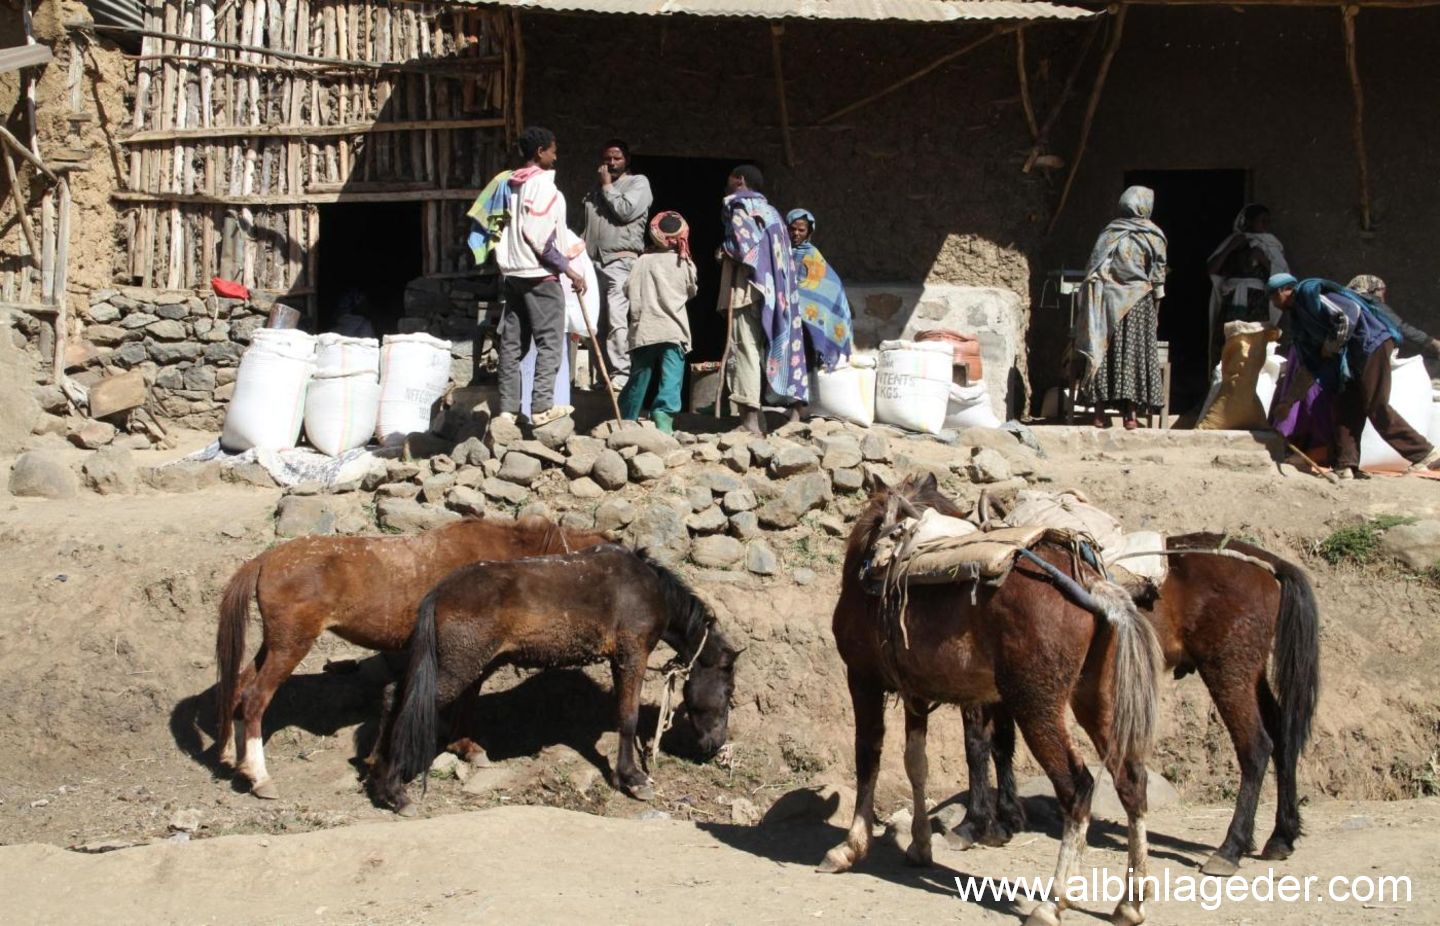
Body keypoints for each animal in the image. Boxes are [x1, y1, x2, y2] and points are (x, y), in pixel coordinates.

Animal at [215, 515, 608, 798]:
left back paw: (234, 760)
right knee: (255, 699)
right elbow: (468, 699)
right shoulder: (472, 656)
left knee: (237, 689)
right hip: (291, 646)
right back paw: (260, 777)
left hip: (274, 644)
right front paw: (466, 746)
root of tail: (265, 559)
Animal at [368, 544, 739, 813]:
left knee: (398, 696)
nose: (715, 745)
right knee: (399, 700)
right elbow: (628, 717)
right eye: (728, 692)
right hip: (455, 668)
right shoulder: (631, 655)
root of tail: (439, 592)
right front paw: (632, 778)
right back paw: (393, 790)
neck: (646, 587)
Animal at [824, 476, 1165, 926]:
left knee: (1077, 787)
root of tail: (1093, 584)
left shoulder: (863, 680)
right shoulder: (915, 693)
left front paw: (849, 847)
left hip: (1037, 706)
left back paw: (1051, 902)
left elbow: (868, 757)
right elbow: (916, 764)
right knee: (1131, 781)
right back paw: (1131, 901)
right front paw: (919, 846)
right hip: (1096, 699)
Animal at [954, 532, 1320, 878]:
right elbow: (1000, 746)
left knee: (1256, 746)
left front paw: (974, 823)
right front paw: (1005, 819)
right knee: (1283, 735)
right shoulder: (1001, 689)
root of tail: (1267, 563)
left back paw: (1231, 847)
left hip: (1229, 672)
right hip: (1250, 674)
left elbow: (977, 746)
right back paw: (1281, 836)